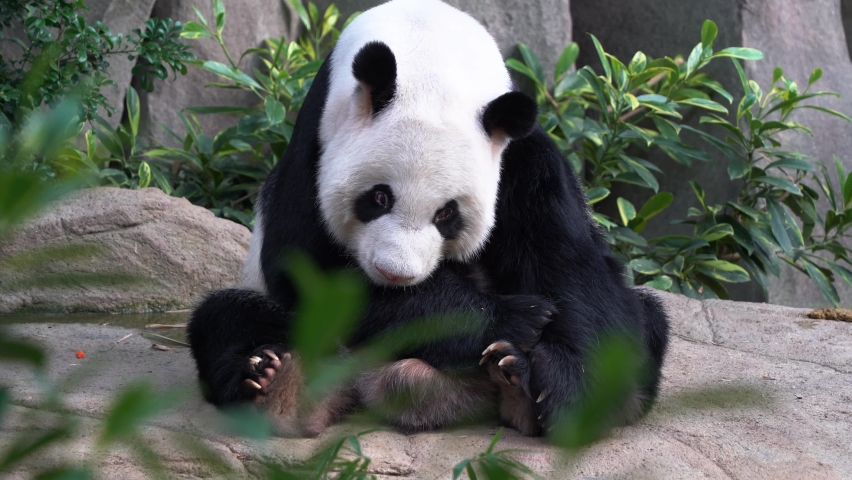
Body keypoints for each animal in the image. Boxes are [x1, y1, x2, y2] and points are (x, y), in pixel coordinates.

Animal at [187, 0, 669, 438]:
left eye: (447, 214)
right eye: (379, 197)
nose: (394, 275)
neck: (430, 55)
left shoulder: (522, 160)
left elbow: (568, 266)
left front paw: (563, 387)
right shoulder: (317, 142)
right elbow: (307, 266)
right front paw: (512, 317)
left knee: (645, 321)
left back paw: (518, 388)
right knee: (228, 320)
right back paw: (275, 384)